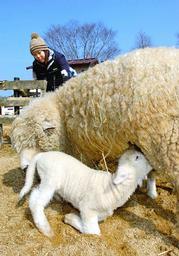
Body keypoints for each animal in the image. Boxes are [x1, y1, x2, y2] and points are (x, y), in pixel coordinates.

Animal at [18, 149, 152, 237]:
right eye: (137, 157)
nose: (151, 163)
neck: (113, 188)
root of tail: (41, 155)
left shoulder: (102, 213)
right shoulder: (87, 209)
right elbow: (92, 231)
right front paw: (70, 218)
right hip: (50, 179)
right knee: (36, 201)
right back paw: (45, 229)